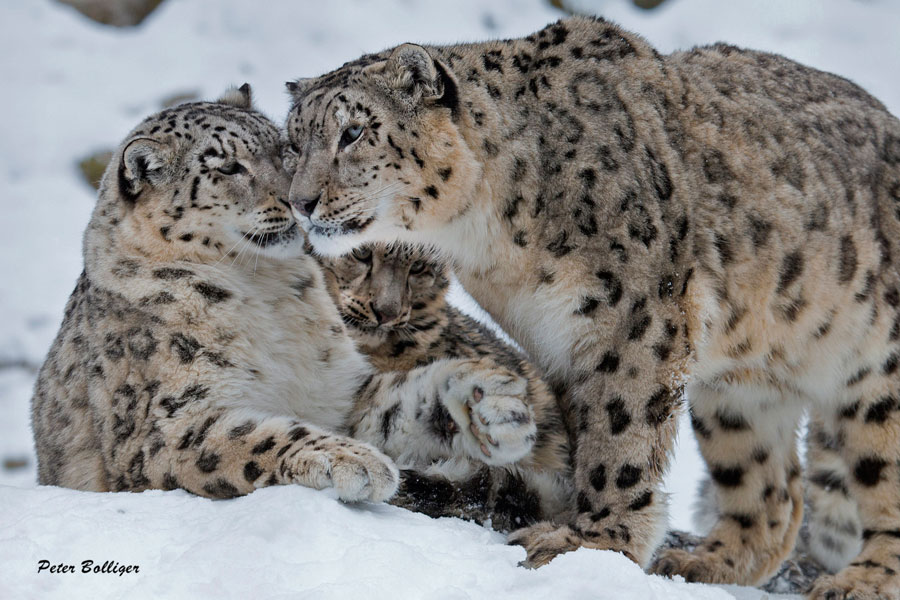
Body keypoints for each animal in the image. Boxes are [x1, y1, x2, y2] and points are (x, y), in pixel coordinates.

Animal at [31, 85, 540, 506]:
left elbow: (398, 405)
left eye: (283, 149)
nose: (297, 201)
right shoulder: (165, 428)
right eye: (228, 166)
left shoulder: (336, 393)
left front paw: (490, 403)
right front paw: (353, 461)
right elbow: (257, 437)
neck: (266, 290)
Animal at [284, 16, 900, 596]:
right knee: (772, 492)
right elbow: (586, 438)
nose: (300, 200)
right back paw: (703, 560)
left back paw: (859, 581)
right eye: (294, 144)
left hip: (878, 374)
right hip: (736, 395)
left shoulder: (635, 317)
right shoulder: (554, 340)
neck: (493, 238)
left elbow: (622, 432)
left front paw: (598, 539)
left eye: (353, 132)